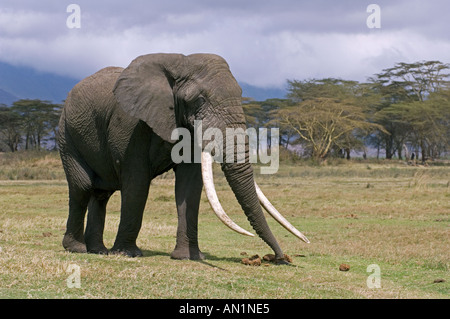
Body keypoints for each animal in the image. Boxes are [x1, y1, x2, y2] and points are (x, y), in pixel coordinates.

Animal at [57, 52, 310, 264]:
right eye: (199, 100)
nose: (279, 258)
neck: (180, 63)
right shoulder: (130, 123)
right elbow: (137, 181)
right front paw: (127, 254)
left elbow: (189, 185)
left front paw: (188, 257)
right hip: (67, 134)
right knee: (83, 186)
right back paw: (77, 248)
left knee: (101, 193)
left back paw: (98, 251)